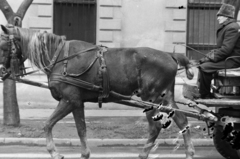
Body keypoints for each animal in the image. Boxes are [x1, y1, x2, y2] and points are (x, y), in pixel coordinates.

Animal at [0, 25, 195, 159]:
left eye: (3, 46)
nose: (2, 71)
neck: (60, 58)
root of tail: (170, 55)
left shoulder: (70, 100)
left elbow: (55, 125)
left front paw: (57, 152)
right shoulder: (75, 102)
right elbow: (76, 128)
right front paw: (81, 153)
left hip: (151, 99)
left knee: (155, 127)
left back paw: (144, 153)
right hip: (166, 97)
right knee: (182, 120)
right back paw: (189, 151)